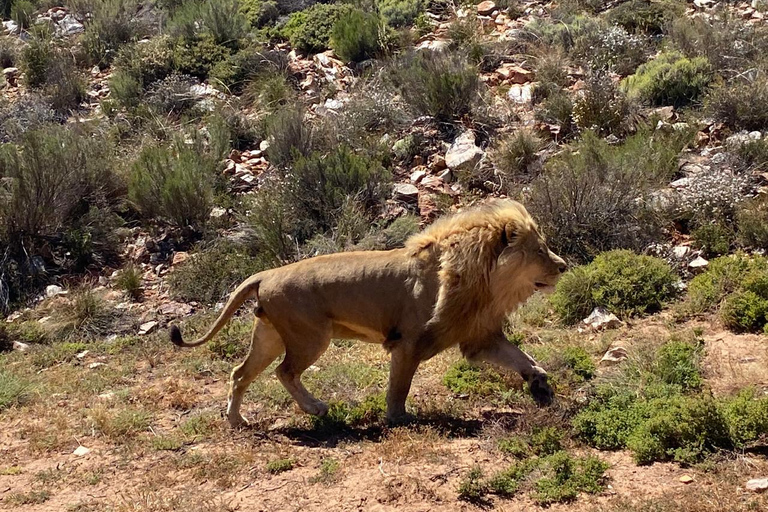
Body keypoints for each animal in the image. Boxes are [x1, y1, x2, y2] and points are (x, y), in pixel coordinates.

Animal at [170, 200, 564, 428]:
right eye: (540, 250)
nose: (563, 266)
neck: (486, 280)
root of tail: (265, 273)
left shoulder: (479, 334)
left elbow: (521, 357)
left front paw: (541, 384)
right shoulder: (408, 342)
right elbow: (399, 386)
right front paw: (398, 418)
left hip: (269, 337)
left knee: (240, 373)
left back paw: (236, 420)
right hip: (310, 337)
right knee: (285, 372)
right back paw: (316, 408)